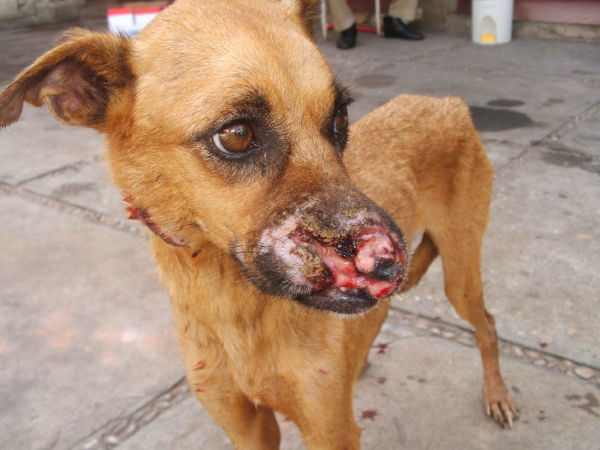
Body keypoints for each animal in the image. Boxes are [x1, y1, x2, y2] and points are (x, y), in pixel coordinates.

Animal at [0, 1, 516, 448]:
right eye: (235, 134)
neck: (230, 300)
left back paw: (497, 395)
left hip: (460, 273)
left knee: (488, 324)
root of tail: (448, 102)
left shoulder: (330, 430)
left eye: (340, 116)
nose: (388, 261)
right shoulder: (247, 426)